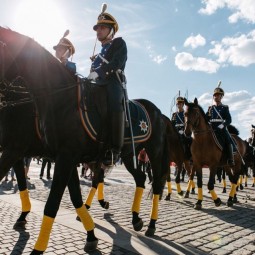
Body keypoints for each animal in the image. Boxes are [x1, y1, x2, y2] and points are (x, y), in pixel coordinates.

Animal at [0, 26, 169, 254]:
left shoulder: (37, 152)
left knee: (156, 182)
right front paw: (90, 235)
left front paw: (37, 248)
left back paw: (151, 224)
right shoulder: (59, 157)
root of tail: (159, 112)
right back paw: (135, 219)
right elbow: (73, 196)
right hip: (128, 155)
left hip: (154, 152)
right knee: (139, 178)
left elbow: (52, 203)